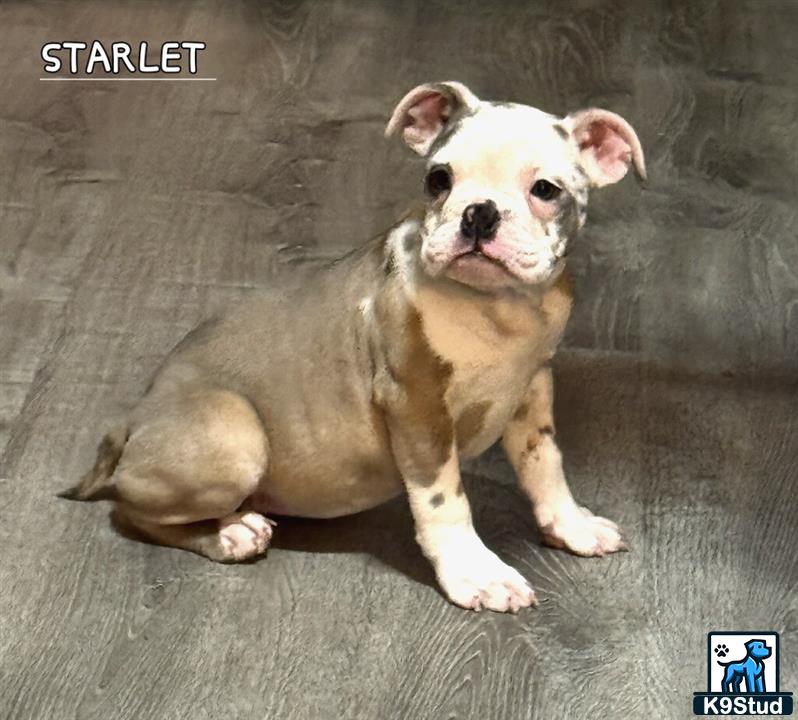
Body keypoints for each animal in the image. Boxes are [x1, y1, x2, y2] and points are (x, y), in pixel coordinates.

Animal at [65, 83, 648, 612]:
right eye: (438, 180)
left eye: (545, 190)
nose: (479, 212)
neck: (494, 306)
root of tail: (134, 417)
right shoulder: (417, 409)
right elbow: (446, 500)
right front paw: (476, 571)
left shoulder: (533, 389)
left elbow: (544, 463)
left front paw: (568, 525)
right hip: (233, 434)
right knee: (132, 512)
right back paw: (230, 533)